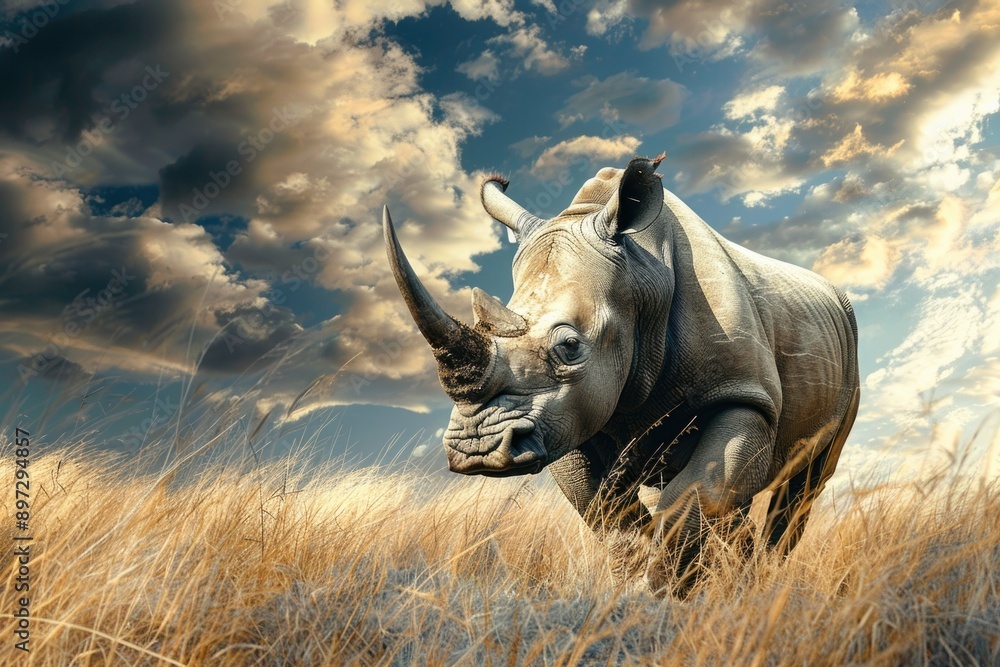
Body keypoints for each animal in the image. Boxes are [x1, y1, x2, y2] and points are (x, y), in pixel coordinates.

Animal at [382, 155, 860, 595]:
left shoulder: (744, 394)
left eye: (570, 346)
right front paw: (634, 594)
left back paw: (763, 580)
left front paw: (665, 597)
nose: (477, 447)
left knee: (803, 488)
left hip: (848, 348)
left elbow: (695, 494)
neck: (642, 272)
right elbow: (609, 514)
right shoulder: (565, 418)